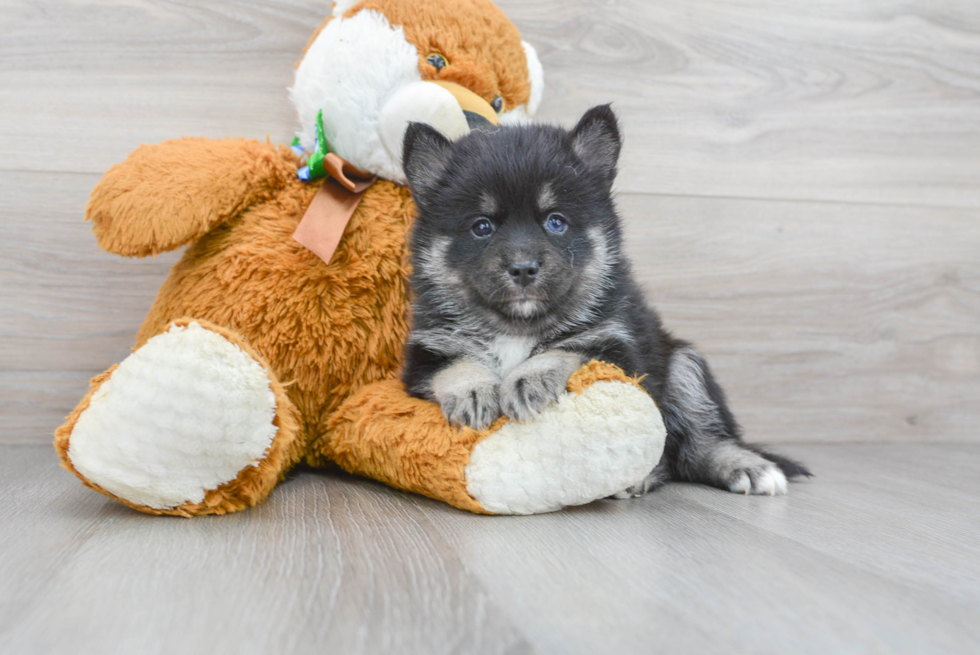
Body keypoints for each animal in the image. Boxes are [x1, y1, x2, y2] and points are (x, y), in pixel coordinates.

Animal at [400, 106, 812, 498]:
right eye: (482, 227)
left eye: (556, 222)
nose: (523, 269)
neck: (517, 327)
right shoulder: (424, 357)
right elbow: (457, 365)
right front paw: (473, 390)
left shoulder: (615, 345)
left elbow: (565, 349)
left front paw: (528, 378)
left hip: (684, 367)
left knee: (699, 444)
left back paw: (743, 468)